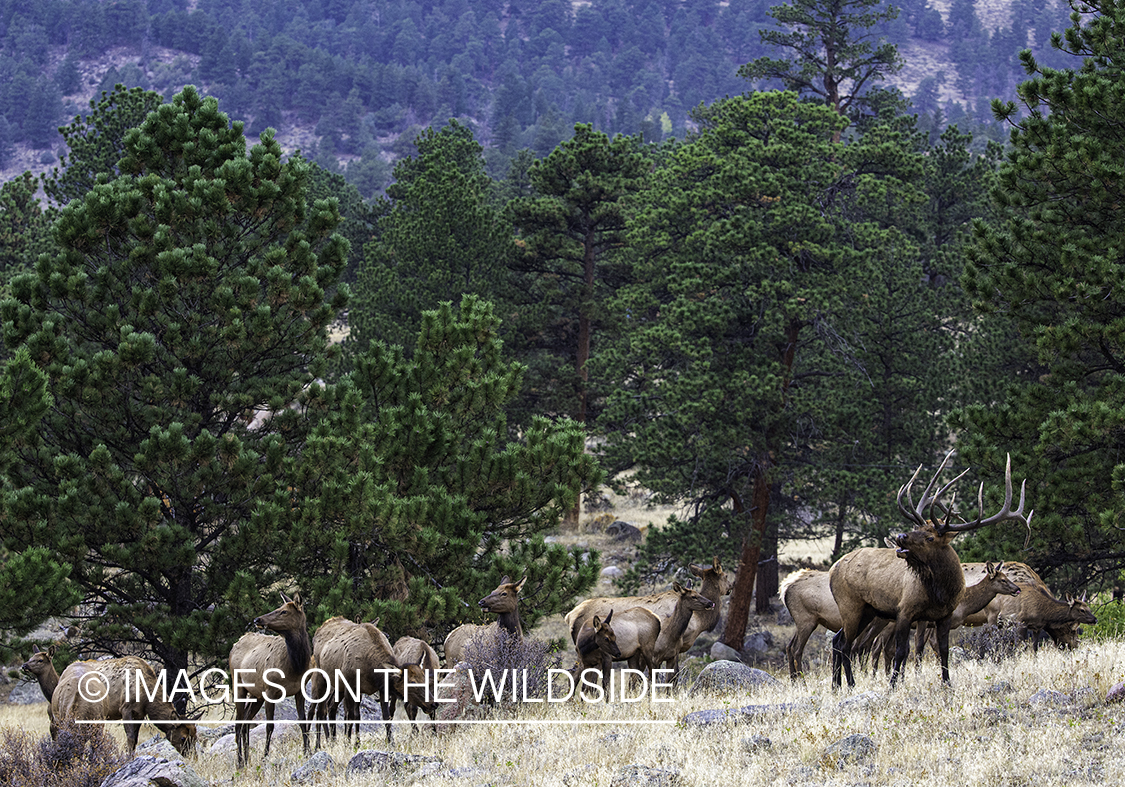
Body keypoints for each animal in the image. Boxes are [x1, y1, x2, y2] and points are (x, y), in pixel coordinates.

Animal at [49, 652, 198, 755]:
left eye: (195, 737)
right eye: (183, 738)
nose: (192, 757)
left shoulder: (140, 714)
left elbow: (136, 740)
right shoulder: (125, 708)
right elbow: (130, 738)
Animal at [227, 589, 312, 769]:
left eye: (284, 611)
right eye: (278, 607)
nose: (257, 619)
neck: (295, 666)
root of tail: (235, 644)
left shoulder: (300, 691)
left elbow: (303, 721)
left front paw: (307, 752)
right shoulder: (270, 691)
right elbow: (270, 726)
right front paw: (265, 757)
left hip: (256, 694)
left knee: (246, 721)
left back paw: (246, 759)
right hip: (238, 685)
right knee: (238, 723)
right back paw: (240, 761)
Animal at [832, 451, 1030, 683]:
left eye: (929, 537)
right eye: (915, 527)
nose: (900, 536)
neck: (942, 593)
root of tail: (833, 568)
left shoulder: (943, 617)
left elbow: (943, 651)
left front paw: (947, 683)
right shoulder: (905, 612)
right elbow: (903, 651)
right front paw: (893, 684)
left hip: (868, 611)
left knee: (838, 640)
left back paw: (837, 685)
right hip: (851, 605)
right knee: (847, 644)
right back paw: (851, 684)